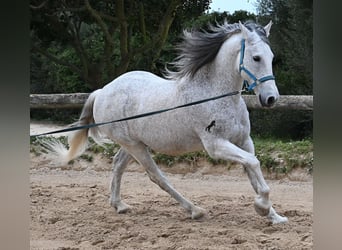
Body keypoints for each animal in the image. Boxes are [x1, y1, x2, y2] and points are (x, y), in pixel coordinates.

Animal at [47, 21, 288, 225]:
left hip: (134, 144)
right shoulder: (216, 146)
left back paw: (120, 205)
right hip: (135, 147)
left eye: (271, 56)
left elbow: (253, 173)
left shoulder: (244, 141)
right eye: (256, 58)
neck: (214, 95)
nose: (270, 99)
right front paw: (261, 207)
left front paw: (273, 216)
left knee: (118, 164)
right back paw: (194, 210)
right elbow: (254, 164)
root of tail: (102, 91)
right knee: (157, 176)